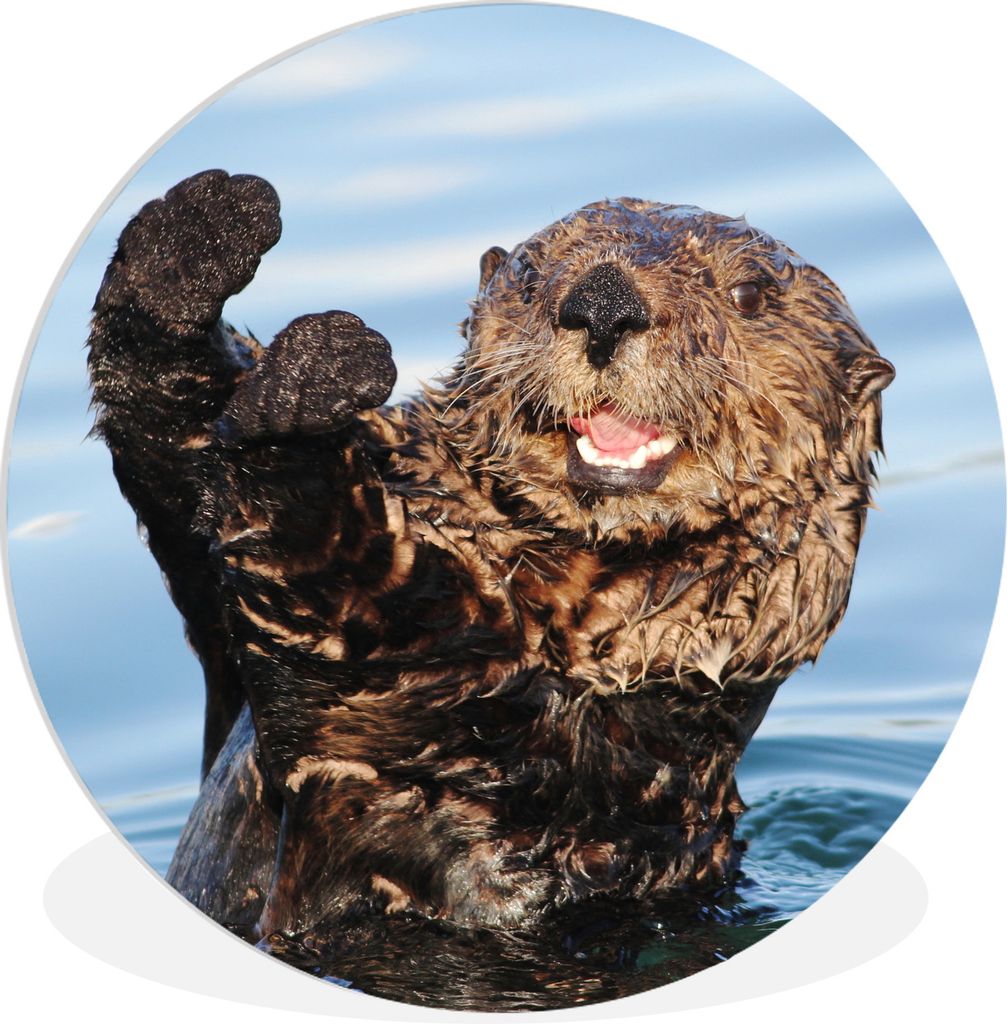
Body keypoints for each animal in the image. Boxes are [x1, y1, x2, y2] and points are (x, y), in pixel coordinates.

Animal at [87, 170, 893, 945]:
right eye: (532, 277)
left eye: (748, 294)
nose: (603, 303)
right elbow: (178, 462)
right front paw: (198, 236)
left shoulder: (477, 739)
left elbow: (350, 596)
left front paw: (305, 389)